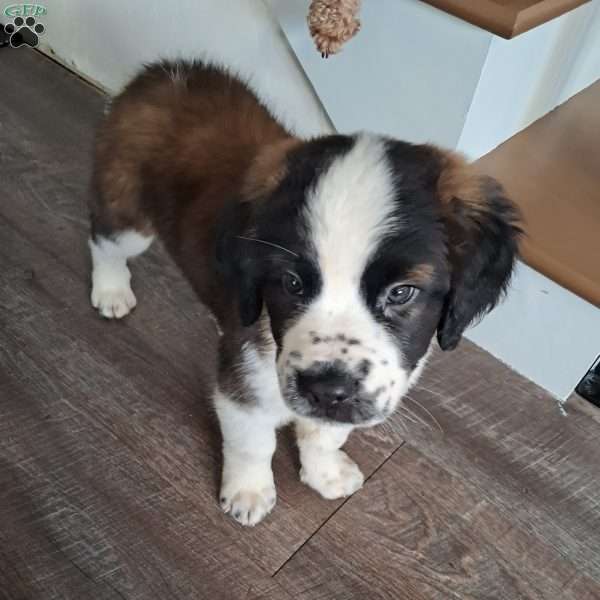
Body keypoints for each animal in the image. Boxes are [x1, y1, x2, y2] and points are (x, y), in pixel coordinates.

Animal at [89, 59, 520, 524]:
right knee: (103, 241)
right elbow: (253, 440)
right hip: (129, 217)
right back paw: (111, 290)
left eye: (402, 293)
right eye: (292, 283)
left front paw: (324, 471)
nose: (327, 390)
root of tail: (166, 73)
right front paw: (248, 491)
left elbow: (325, 435)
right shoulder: (244, 382)